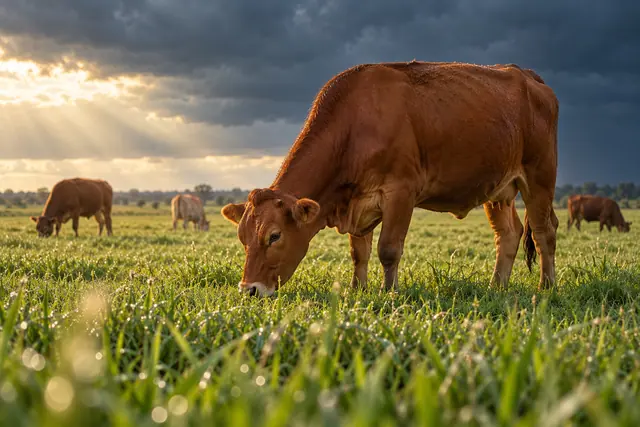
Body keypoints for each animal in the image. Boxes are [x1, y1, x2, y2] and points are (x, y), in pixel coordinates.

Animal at [221, 61, 559, 296]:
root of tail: (527, 75)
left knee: (545, 232)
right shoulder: (358, 202)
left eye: (274, 236)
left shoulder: (401, 192)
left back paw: (546, 287)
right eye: (242, 237)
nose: (249, 290)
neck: (355, 127)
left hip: (540, 178)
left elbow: (388, 249)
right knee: (509, 235)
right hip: (498, 189)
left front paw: (389, 292)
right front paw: (358, 289)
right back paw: (497, 286)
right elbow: (359, 253)